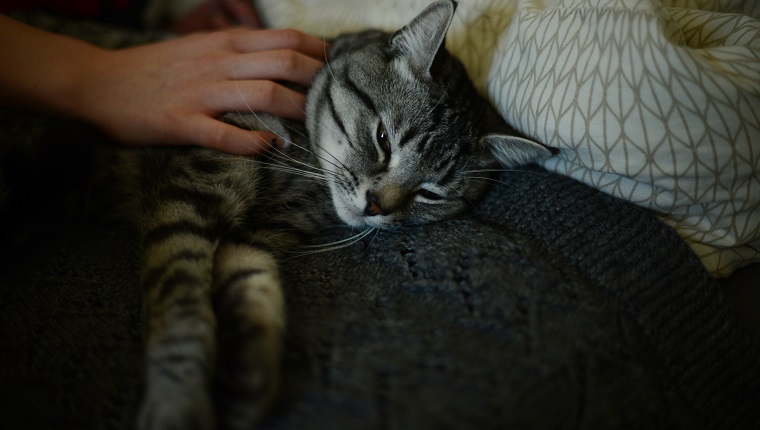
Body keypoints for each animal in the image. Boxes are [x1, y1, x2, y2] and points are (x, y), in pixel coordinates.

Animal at [104, 1, 548, 428]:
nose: (376, 205)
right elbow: (182, 299)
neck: (310, 182)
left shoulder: (258, 235)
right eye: (383, 139)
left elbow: (255, 287)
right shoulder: (193, 189)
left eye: (429, 193)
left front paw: (249, 379)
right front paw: (178, 401)